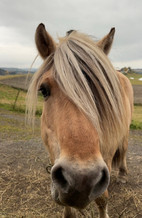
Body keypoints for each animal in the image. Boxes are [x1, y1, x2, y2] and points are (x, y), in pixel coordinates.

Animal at [26, 23, 133, 217]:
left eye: (102, 92)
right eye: (43, 90)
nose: (81, 179)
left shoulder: (105, 159)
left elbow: (102, 199)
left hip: (125, 133)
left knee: (123, 150)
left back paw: (122, 175)